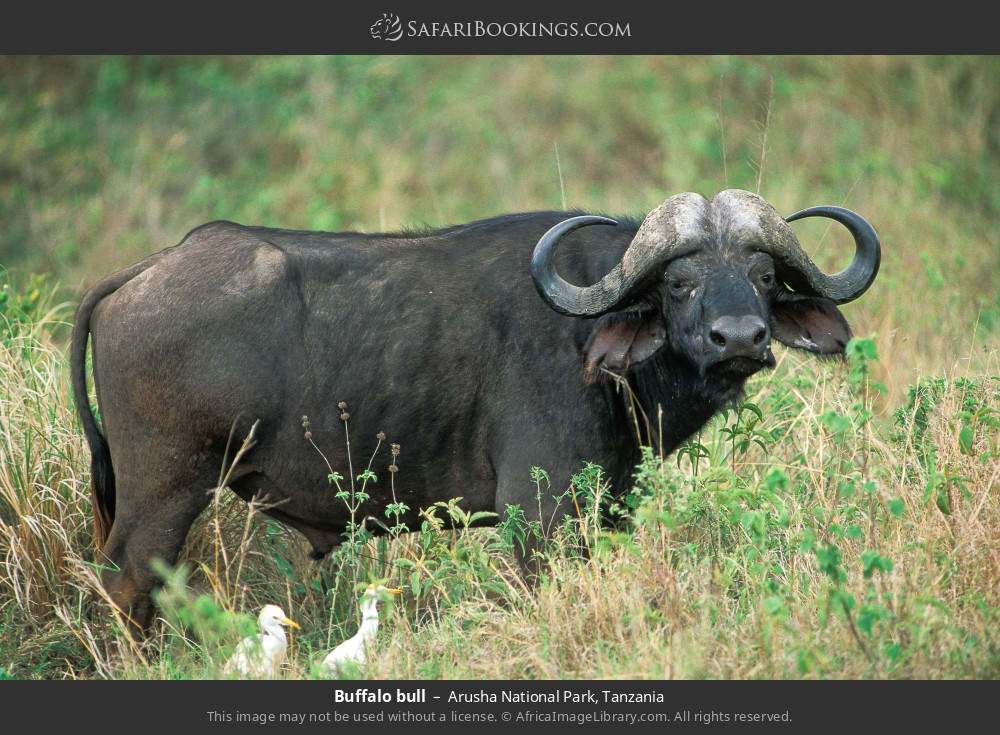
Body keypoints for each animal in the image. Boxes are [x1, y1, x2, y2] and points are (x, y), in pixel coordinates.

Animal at [71, 189, 879, 628]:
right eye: (679, 283)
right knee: (126, 583)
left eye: (764, 276)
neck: (592, 338)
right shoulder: (540, 516)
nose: (739, 337)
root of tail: (144, 272)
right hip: (163, 490)